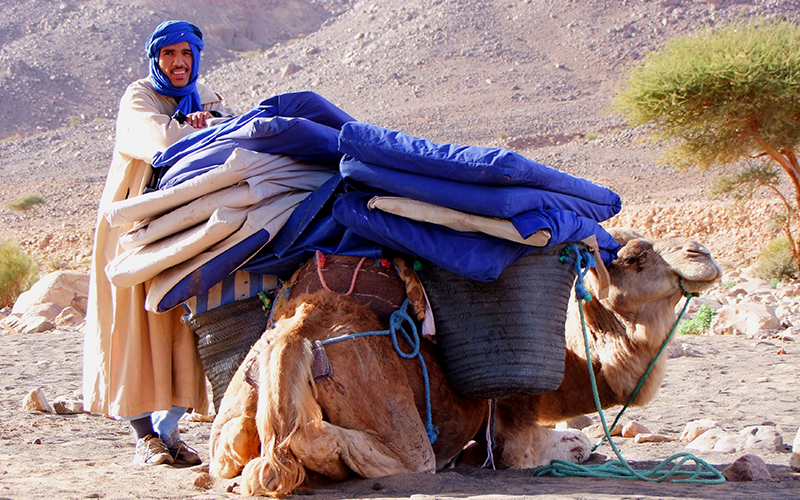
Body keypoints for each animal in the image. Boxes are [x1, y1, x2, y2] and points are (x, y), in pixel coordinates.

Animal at [209, 229, 720, 496]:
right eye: (633, 258)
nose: (702, 254)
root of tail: (298, 330)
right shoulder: (512, 426)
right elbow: (566, 443)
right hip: (388, 409)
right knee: (377, 452)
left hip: (235, 412)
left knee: (235, 456)